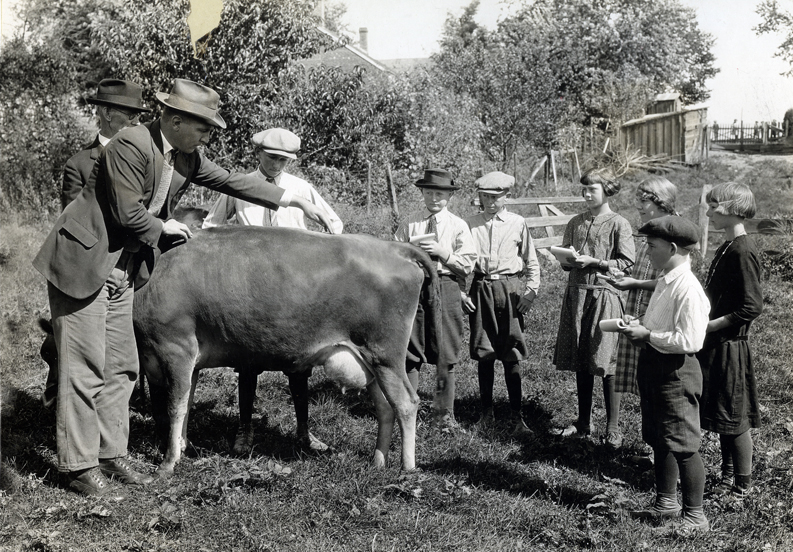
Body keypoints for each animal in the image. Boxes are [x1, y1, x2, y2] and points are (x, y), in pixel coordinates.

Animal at [133, 225, 436, 478]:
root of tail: (395, 248)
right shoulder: (188, 361)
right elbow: (186, 404)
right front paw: (183, 447)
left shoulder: (176, 349)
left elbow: (174, 406)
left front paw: (168, 462)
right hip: (370, 361)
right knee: (385, 407)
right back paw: (378, 461)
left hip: (385, 354)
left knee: (407, 403)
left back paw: (407, 468)